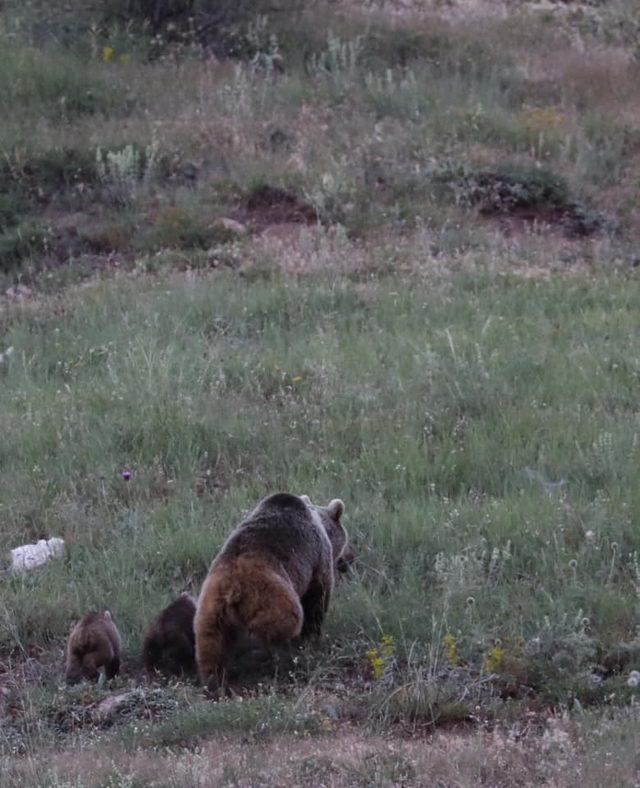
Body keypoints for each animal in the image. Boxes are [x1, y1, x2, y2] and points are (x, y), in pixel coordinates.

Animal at [195, 492, 348, 688]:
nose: (345, 562)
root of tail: (233, 586)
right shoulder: (318, 559)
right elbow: (316, 599)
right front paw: (312, 636)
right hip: (270, 592)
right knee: (287, 618)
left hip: (211, 605)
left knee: (210, 642)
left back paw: (214, 678)